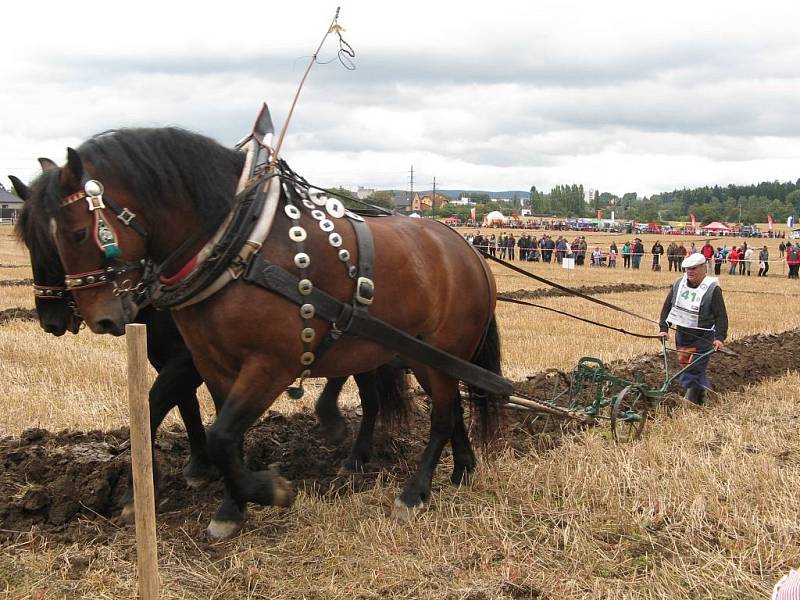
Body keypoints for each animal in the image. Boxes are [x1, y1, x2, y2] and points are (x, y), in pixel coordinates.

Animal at [36, 127, 506, 540]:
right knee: (451, 407)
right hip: (419, 355)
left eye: (77, 233)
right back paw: (462, 468)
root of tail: (469, 251)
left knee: (441, 416)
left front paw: (270, 491)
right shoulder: (212, 363)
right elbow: (224, 435)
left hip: (439, 352)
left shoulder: (270, 365)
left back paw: (414, 493)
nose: (99, 319)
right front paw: (231, 507)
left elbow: (220, 434)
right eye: (44, 239)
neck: (241, 249)